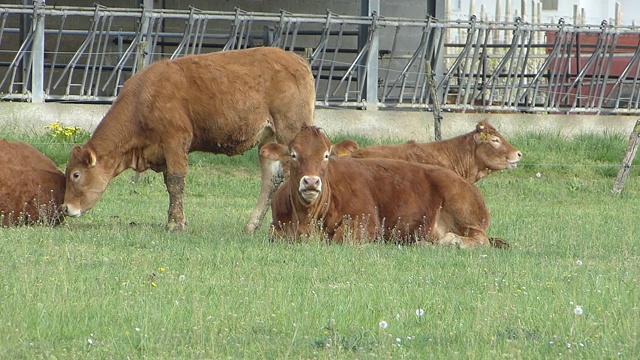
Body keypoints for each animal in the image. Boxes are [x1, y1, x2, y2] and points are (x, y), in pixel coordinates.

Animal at [61, 46, 316, 232]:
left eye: (76, 175)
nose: (66, 208)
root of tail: (296, 59)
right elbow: (169, 184)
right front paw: (171, 220)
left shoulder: (176, 140)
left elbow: (176, 181)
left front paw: (177, 224)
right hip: (268, 138)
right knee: (271, 178)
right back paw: (251, 226)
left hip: (290, 129)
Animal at [262, 124, 508, 248]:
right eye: (293, 154)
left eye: (326, 155)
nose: (311, 181)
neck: (307, 219)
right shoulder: (276, 228)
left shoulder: (366, 222)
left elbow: (341, 237)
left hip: (463, 211)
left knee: (481, 240)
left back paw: (449, 240)